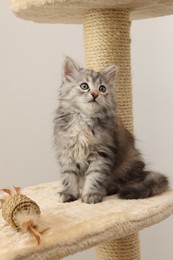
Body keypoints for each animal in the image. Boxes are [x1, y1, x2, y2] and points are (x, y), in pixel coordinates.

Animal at [53, 56, 169, 203]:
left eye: (102, 88)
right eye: (84, 86)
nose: (95, 94)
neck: (84, 119)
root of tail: (142, 171)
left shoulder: (102, 154)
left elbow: (94, 176)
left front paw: (91, 194)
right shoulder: (66, 152)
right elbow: (69, 176)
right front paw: (69, 193)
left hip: (128, 164)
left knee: (126, 182)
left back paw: (109, 188)